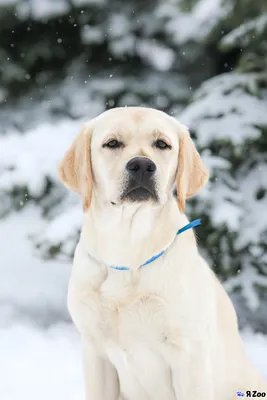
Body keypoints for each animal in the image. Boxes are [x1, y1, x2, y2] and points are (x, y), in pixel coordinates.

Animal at [57, 107, 266, 400]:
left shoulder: (189, 357)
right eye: (112, 143)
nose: (142, 165)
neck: (128, 247)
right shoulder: (95, 353)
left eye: (162, 144)